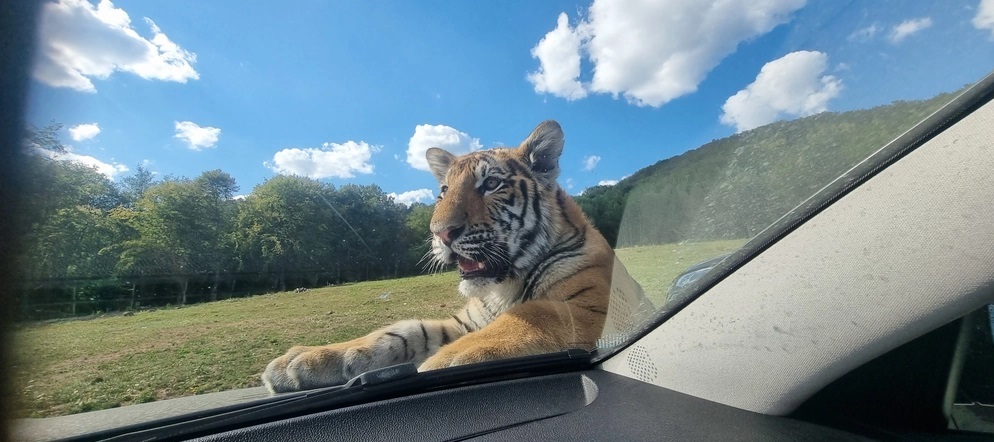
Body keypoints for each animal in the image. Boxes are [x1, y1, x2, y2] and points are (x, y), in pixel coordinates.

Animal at [262, 120, 649, 393]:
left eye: (491, 185)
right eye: (444, 190)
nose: (440, 232)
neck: (503, 286)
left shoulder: (588, 307)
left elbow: (525, 317)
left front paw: (434, 367)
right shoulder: (465, 321)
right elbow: (402, 331)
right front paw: (304, 360)